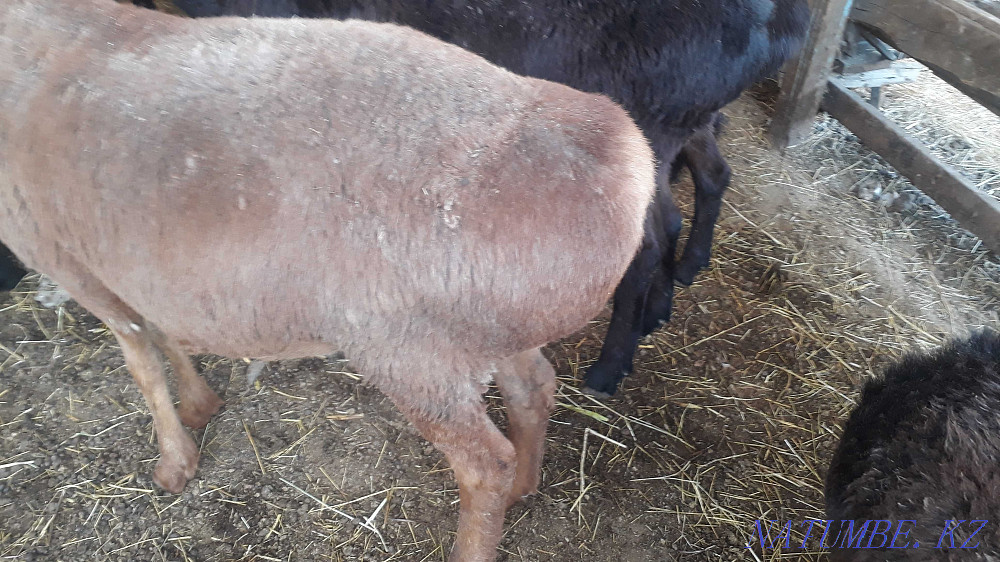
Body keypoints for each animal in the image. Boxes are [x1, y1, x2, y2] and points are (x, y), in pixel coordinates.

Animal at [0, 1, 655, 560]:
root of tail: (610, 151)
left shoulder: (69, 258)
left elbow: (142, 361)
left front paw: (175, 460)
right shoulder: (133, 268)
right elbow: (164, 335)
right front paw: (199, 405)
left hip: (416, 354)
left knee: (482, 465)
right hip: (493, 330)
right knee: (533, 391)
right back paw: (525, 485)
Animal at [139, 0, 811, 396]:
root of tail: (784, 22)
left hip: (642, 129)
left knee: (649, 238)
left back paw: (610, 366)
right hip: (678, 125)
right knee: (708, 181)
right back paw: (675, 288)